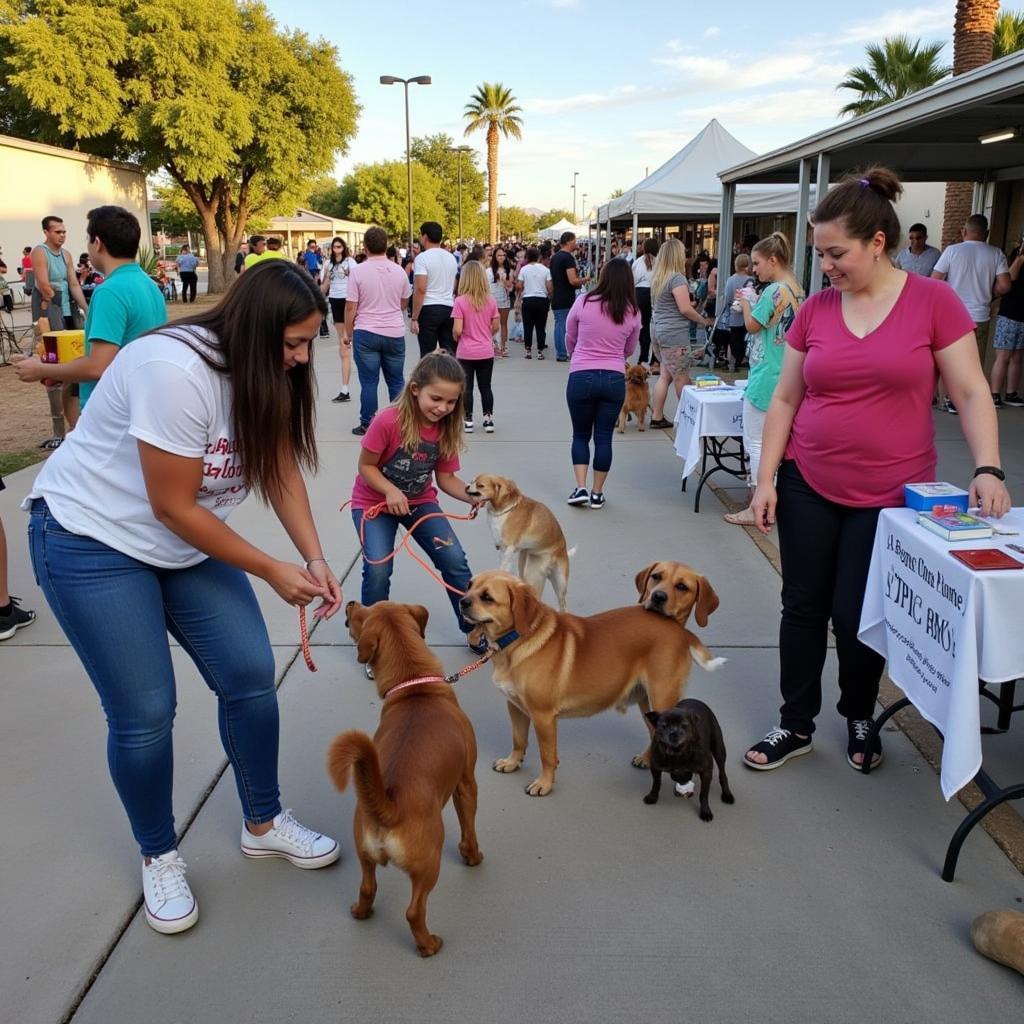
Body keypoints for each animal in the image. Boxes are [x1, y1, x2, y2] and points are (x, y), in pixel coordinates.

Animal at [329, 602, 485, 954]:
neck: (415, 685)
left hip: (364, 855)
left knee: (367, 888)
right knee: (414, 911)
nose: (351, 603)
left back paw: (361, 912)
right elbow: (469, 830)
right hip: (428, 864)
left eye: (365, 612)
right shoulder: (466, 784)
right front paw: (473, 857)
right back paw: (428, 944)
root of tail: (388, 807)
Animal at [460, 569, 724, 798]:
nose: (462, 601)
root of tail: (677, 628)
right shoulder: (516, 707)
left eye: (487, 597)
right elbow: (518, 740)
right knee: (654, 733)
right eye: (469, 585)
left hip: (662, 697)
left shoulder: (543, 717)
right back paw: (648, 759)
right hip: (647, 702)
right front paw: (513, 762)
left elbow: (547, 755)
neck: (515, 642)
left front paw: (544, 784)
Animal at [466, 475, 577, 610]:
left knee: (562, 604)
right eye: (472, 482)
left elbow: (503, 569)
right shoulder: (503, 550)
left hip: (555, 581)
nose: (466, 487)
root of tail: (562, 551)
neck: (506, 510)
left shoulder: (508, 549)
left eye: (480, 486)